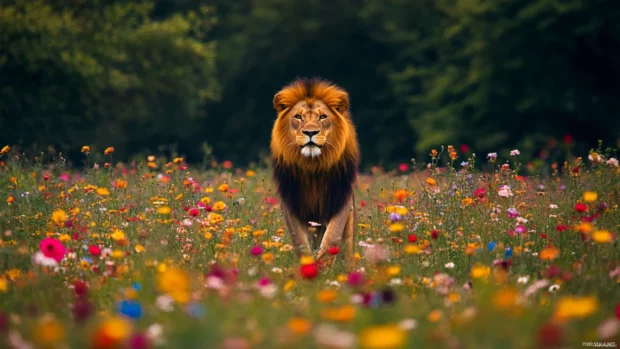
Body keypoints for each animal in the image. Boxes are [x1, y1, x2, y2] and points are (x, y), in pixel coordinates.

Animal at [268, 78, 360, 264]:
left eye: (323, 116)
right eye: (298, 116)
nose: (310, 132)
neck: (312, 167)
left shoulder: (341, 199)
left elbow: (332, 237)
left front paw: (323, 267)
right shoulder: (292, 204)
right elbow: (301, 243)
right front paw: (309, 267)